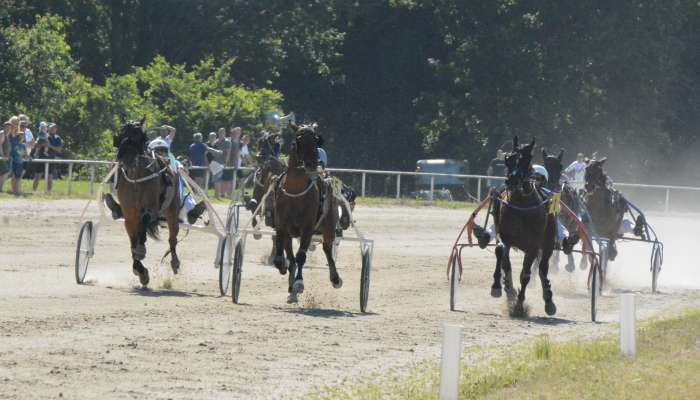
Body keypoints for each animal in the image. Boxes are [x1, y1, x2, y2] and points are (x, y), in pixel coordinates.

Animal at [112, 117, 180, 286]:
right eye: (122, 134)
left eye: (140, 136)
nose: (127, 159)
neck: (137, 178)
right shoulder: (130, 215)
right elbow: (132, 241)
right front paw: (140, 271)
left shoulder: (152, 208)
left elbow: (145, 224)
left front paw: (141, 251)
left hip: (172, 209)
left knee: (172, 239)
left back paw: (175, 263)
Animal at [270, 123, 342, 302]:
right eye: (299, 139)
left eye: (316, 140)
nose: (312, 163)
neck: (295, 189)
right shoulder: (282, 227)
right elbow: (282, 257)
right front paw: (284, 269)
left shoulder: (307, 228)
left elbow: (301, 256)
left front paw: (299, 283)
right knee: (291, 255)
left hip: (329, 225)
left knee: (327, 248)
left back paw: (335, 278)